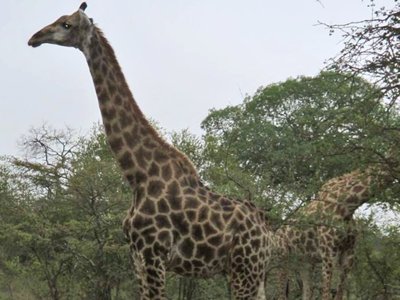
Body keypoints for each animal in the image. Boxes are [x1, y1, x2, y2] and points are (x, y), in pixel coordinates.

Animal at [28, 2, 272, 300]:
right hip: (252, 272)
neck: (138, 175)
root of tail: (267, 231)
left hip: (243, 269)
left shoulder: (153, 253)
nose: (34, 37)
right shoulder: (136, 256)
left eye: (66, 24)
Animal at [270, 165, 396, 300]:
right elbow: (326, 294)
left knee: (306, 292)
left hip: (305, 262)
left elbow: (339, 294)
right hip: (283, 258)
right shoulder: (328, 254)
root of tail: (276, 233)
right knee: (281, 293)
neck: (347, 205)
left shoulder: (348, 254)